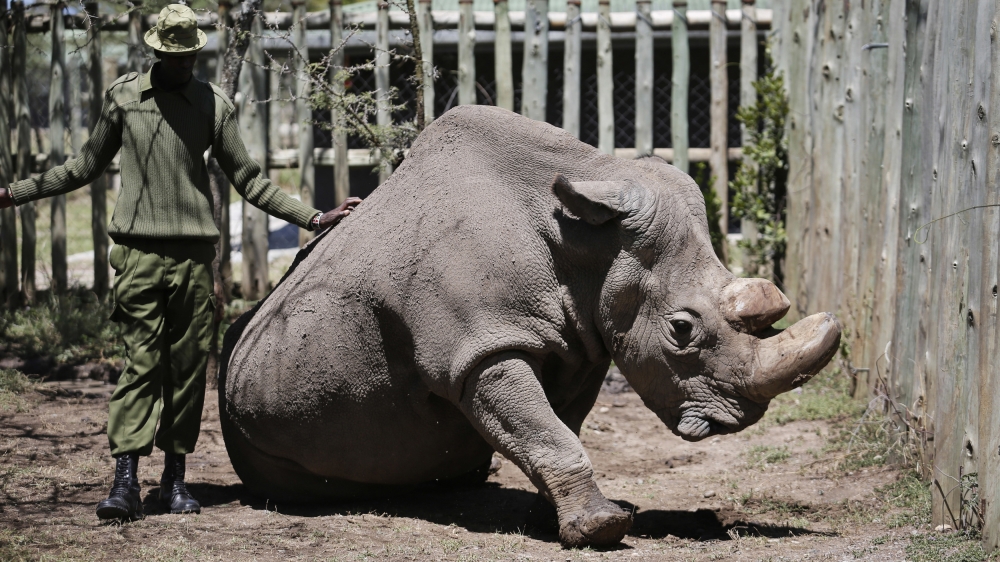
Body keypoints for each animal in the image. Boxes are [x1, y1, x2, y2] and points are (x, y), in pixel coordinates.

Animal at [218, 105, 841, 547]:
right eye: (682, 330)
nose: (738, 420)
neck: (586, 241)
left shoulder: (583, 340)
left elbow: (556, 425)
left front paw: (564, 517)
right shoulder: (479, 350)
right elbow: (543, 427)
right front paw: (602, 530)